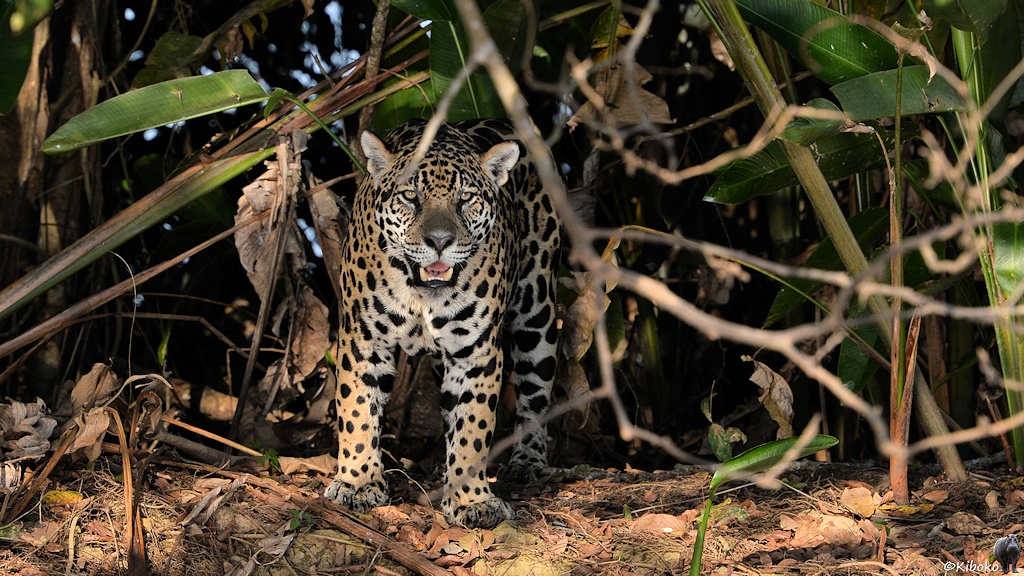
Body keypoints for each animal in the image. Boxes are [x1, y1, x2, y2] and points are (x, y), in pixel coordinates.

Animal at [323, 118, 561, 529]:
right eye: (409, 197)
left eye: (465, 199)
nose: (439, 241)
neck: (422, 293)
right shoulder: (362, 340)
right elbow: (356, 411)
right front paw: (357, 482)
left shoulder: (476, 353)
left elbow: (474, 427)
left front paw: (471, 499)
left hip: (538, 313)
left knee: (535, 393)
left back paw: (527, 462)